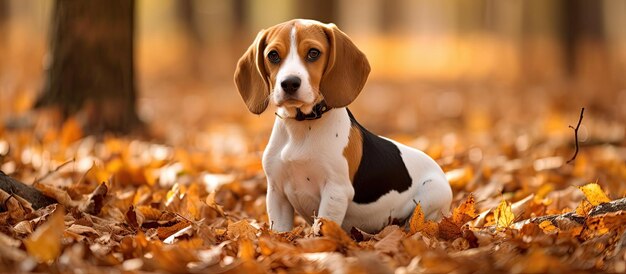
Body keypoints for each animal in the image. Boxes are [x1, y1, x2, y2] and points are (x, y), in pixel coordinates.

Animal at [232, 19, 450, 233]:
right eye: (273, 55)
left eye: (313, 53)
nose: (289, 83)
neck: (302, 126)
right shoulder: (276, 193)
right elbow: (280, 232)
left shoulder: (335, 191)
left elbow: (321, 231)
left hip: (432, 194)